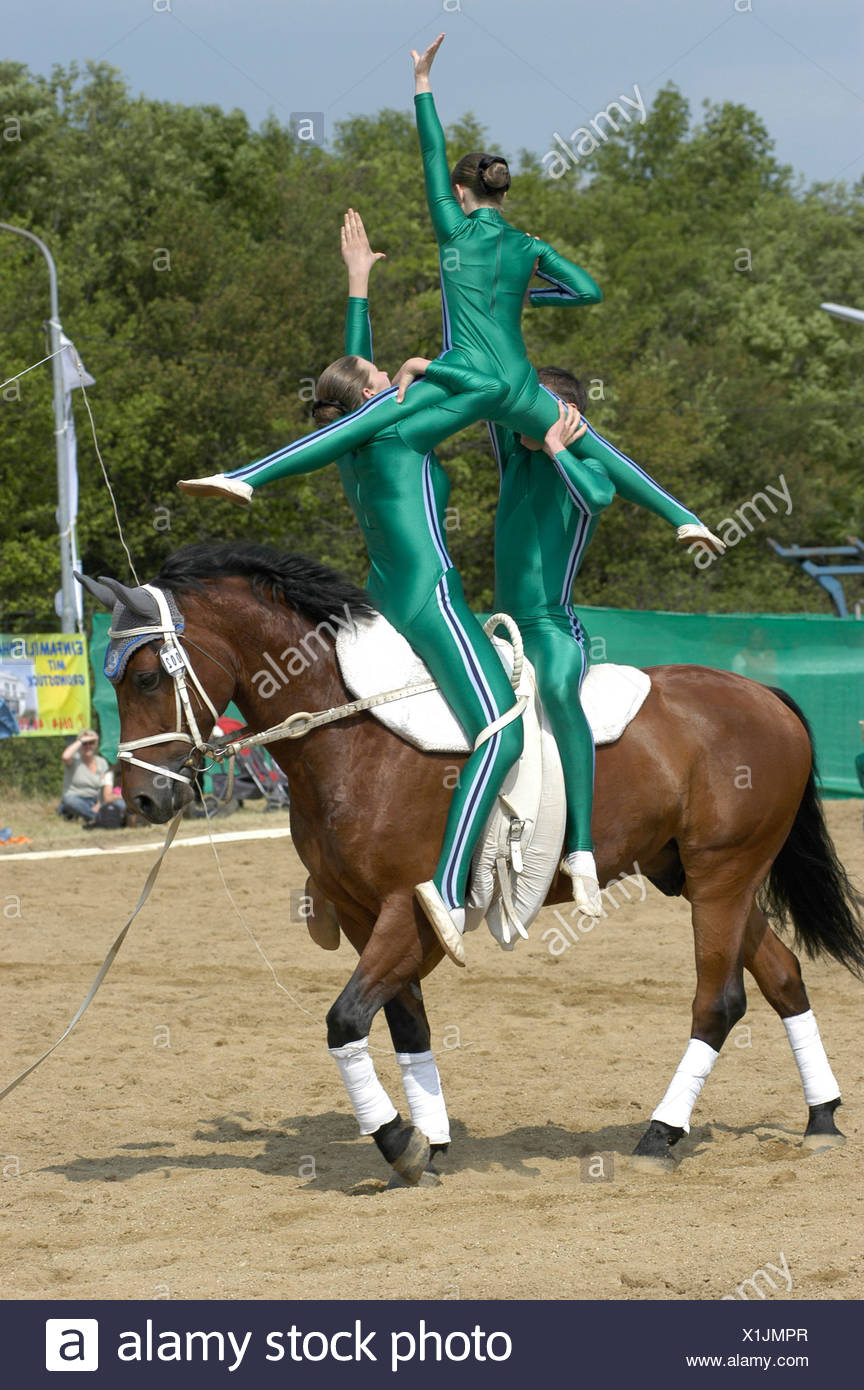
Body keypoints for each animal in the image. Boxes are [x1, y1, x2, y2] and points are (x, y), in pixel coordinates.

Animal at [77, 541, 864, 1186]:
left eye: (145, 679)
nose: (143, 796)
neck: (358, 736)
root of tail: (766, 697)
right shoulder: (364, 912)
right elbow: (406, 1026)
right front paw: (432, 1143)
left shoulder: (412, 906)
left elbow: (345, 1018)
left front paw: (398, 1143)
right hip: (702, 880)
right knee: (783, 976)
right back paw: (821, 1118)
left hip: (721, 876)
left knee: (719, 1001)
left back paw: (659, 1135)